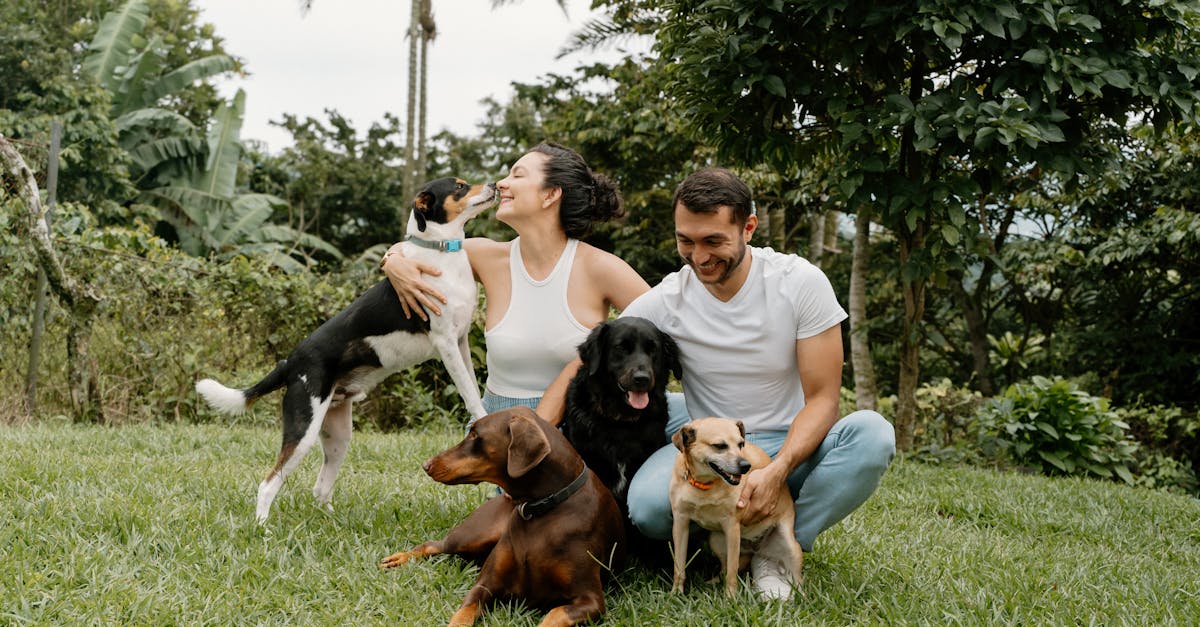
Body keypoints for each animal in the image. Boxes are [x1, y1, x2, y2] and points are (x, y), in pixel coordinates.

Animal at [196, 176, 492, 521]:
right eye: (459, 187)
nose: (494, 184)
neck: (440, 252)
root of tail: (291, 362)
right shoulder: (445, 342)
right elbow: (470, 393)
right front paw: (482, 418)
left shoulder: (461, 341)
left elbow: (472, 383)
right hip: (304, 430)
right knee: (268, 482)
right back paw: (263, 525)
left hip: (337, 436)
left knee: (320, 487)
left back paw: (332, 520)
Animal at [381, 405, 628, 624]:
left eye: (474, 435)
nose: (426, 465)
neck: (539, 511)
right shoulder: (485, 584)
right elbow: (462, 614)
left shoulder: (590, 600)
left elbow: (553, 615)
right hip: (474, 535)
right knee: (433, 545)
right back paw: (399, 558)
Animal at [672, 415, 801, 595]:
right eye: (719, 446)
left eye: (741, 444)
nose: (746, 466)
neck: (705, 484)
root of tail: (755, 548)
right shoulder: (680, 523)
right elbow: (679, 566)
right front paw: (675, 594)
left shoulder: (732, 527)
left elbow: (732, 573)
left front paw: (730, 598)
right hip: (716, 540)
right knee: (724, 568)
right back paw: (712, 583)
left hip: (791, 548)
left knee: (797, 580)